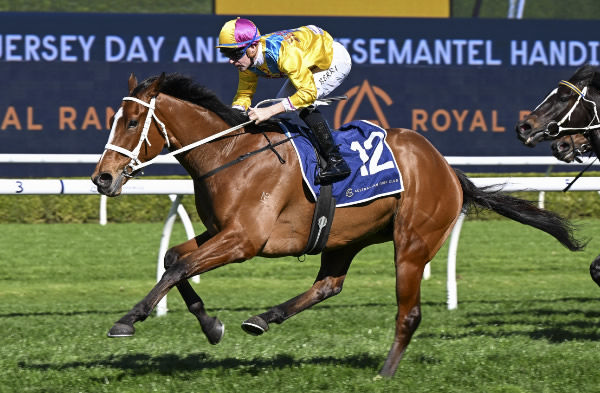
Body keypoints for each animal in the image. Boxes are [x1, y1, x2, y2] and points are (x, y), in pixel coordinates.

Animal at [91, 71, 584, 376]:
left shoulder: (244, 240)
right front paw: (211, 324)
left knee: (409, 313)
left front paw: (128, 320)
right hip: (343, 237)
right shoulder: (222, 232)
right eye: (113, 119)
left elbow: (179, 266)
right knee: (328, 284)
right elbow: (175, 259)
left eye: (131, 121)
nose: (103, 178)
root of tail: (448, 169)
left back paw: (385, 373)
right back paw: (264, 318)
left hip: (412, 243)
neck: (229, 156)